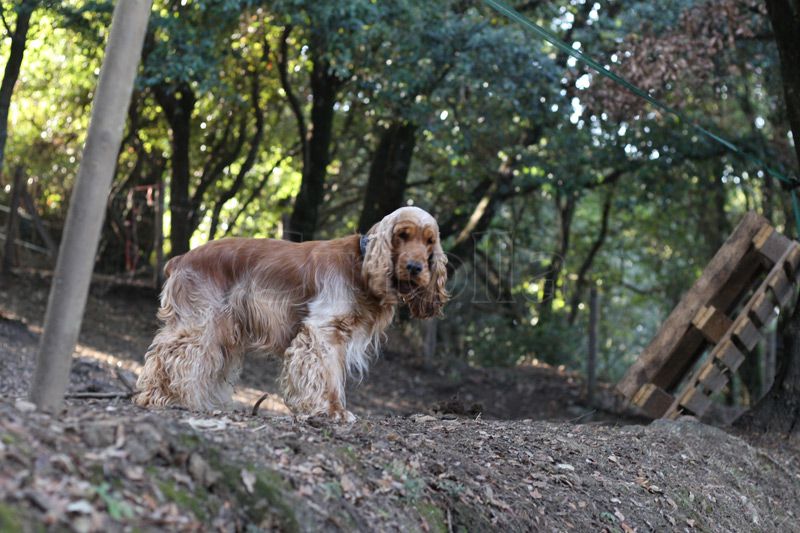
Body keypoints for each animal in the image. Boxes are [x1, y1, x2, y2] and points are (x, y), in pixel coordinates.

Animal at [135, 206, 448, 421]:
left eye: (429, 241)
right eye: (402, 235)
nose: (415, 268)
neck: (361, 265)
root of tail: (180, 258)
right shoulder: (323, 330)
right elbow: (329, 376)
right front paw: (333, 411)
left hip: (223, 331)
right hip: (201, 322)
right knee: (167, 356)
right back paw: (160, 397)